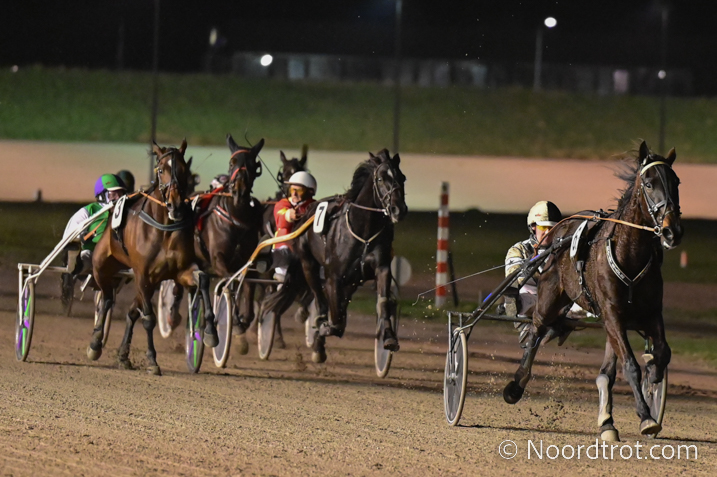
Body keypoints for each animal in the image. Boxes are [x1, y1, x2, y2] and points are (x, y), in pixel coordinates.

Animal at [88, 140, 218, 375]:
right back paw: (95, 344)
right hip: (102, 266)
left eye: (183, 169)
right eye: (160, 170)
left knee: (131, 312)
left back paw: (123, 356)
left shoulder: (181, 271)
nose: (175, 205)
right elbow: (148, 320)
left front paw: (211, 333)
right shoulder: (142, 274)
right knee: (107, 299)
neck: (164, 228)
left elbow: (203, 279)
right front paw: (151, 361)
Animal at [261, 149, 408, 363]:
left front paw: (388, 338)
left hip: (353, 281)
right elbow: (335, 318)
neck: (363, 232)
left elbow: (382, 303)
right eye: (381, 178)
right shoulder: (333, 277)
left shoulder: (381, 269)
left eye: (402, 178)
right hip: (308, 265)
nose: (399, 209)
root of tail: (307, 212)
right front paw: (323, 330)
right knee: (319, 299)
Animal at [502, 141, 683, 442]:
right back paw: (516, 384)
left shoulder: (650, 313)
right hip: (550, 296)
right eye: (648, 183)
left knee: (603, 371)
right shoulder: (612, 313)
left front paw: (654, 374)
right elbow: (630, 366)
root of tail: (556, 234)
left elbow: (662, 352)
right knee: (537, 329)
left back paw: (608, 422)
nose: (672, 232)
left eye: (676, 182)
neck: (629, 254)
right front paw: (646, 417)